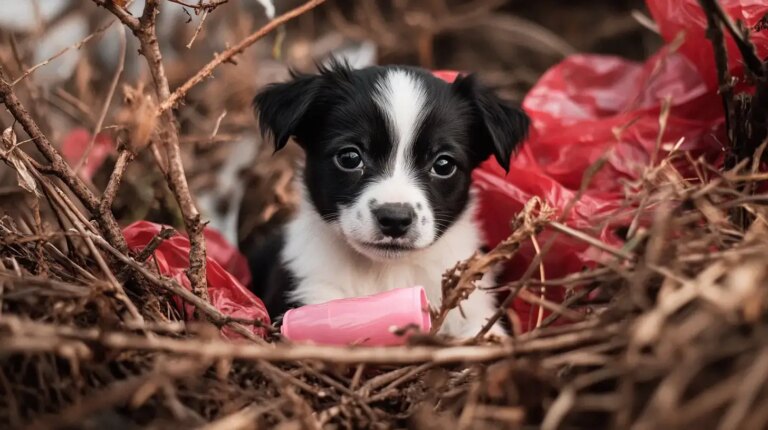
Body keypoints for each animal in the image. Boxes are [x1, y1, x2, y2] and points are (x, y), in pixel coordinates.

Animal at [249, 60, 532, 338]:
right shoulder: (308, 288)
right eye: (349, 158)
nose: (395, 219)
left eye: (443, 165)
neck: (386, 272)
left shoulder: (474, 305)